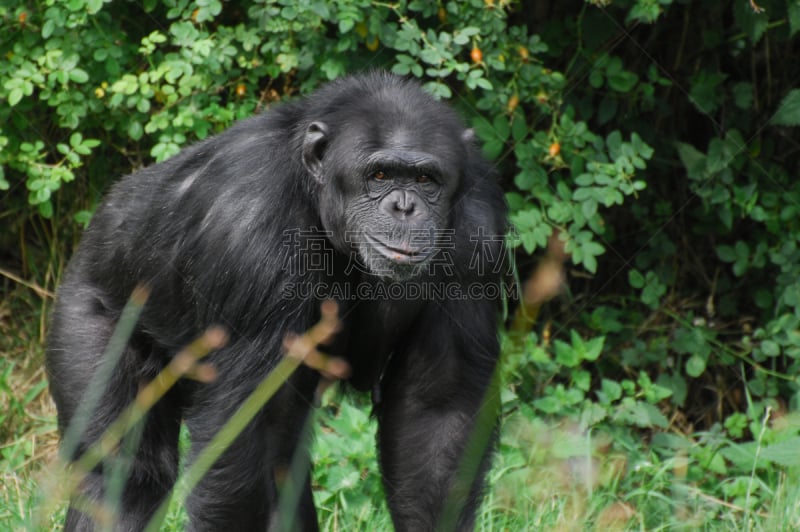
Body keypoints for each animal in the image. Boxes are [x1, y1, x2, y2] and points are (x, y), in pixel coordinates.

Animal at [47, 71, 506, 532]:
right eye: (379, 175)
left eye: (426, 180)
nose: (405, 207)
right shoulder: (249, 233)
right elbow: (245, 434)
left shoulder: (477, 234)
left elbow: (436, 412)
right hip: (88, 311)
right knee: (124, 476)